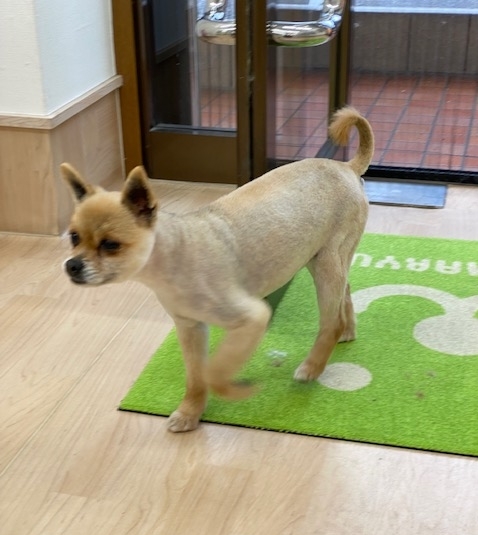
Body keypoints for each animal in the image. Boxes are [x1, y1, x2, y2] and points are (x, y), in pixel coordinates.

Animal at [61, 106, 374, 432]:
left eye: (111, 245)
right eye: (73, 237)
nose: (72, 265)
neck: (176, 257)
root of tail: (347, 167)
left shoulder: (251, 319)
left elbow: (214, 371)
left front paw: (233, 391)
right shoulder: (190, 328)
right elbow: (195, 376)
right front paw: (190, 412)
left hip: (326, 263)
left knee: (330, 321)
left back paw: (313, 365)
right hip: (324, 259)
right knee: (345, 292)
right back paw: (347, 329)